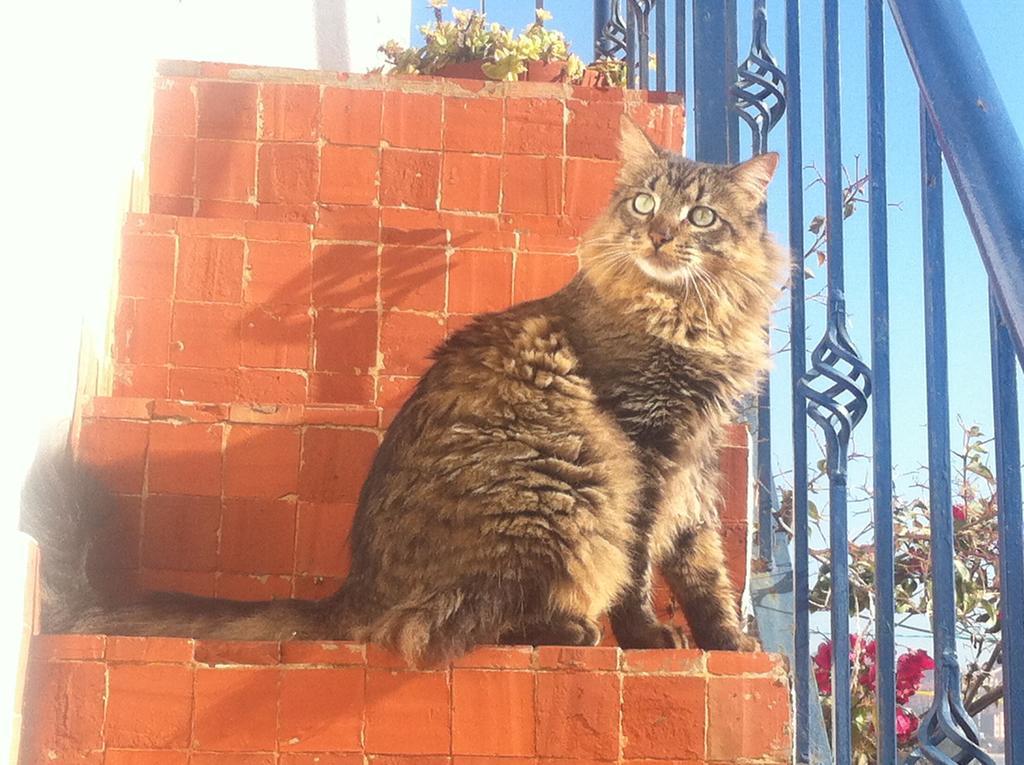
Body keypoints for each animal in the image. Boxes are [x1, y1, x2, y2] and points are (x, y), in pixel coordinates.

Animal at [22, 116, 774, 667]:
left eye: (701, 217)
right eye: (644, 202)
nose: (659, 234)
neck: (689, 316)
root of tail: (357, 590)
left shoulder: (695, 461)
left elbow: (704, 569)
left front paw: (730, 643)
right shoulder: (644, 443)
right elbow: (639, 569)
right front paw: (649, 637)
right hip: (570, 488)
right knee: (439, 629)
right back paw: (570, 630)